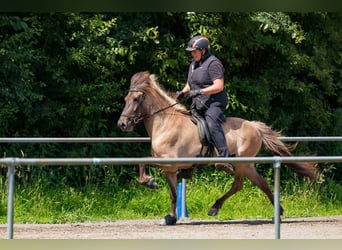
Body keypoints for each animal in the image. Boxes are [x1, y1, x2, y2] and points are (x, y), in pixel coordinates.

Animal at [117, 71, 318, 226]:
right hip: (248, 164)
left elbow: (142, 163)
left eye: (136, 99)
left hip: (241, 164)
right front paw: (171, 218)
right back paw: (279, 213)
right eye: (126, 99)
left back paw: (214, 208)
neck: (165, 123)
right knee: (262, 183)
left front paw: (150, 182)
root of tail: (254, 126)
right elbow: (173, 194)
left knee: (238, 184)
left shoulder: (170, 163)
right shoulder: (171, 170)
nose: (122, 124)